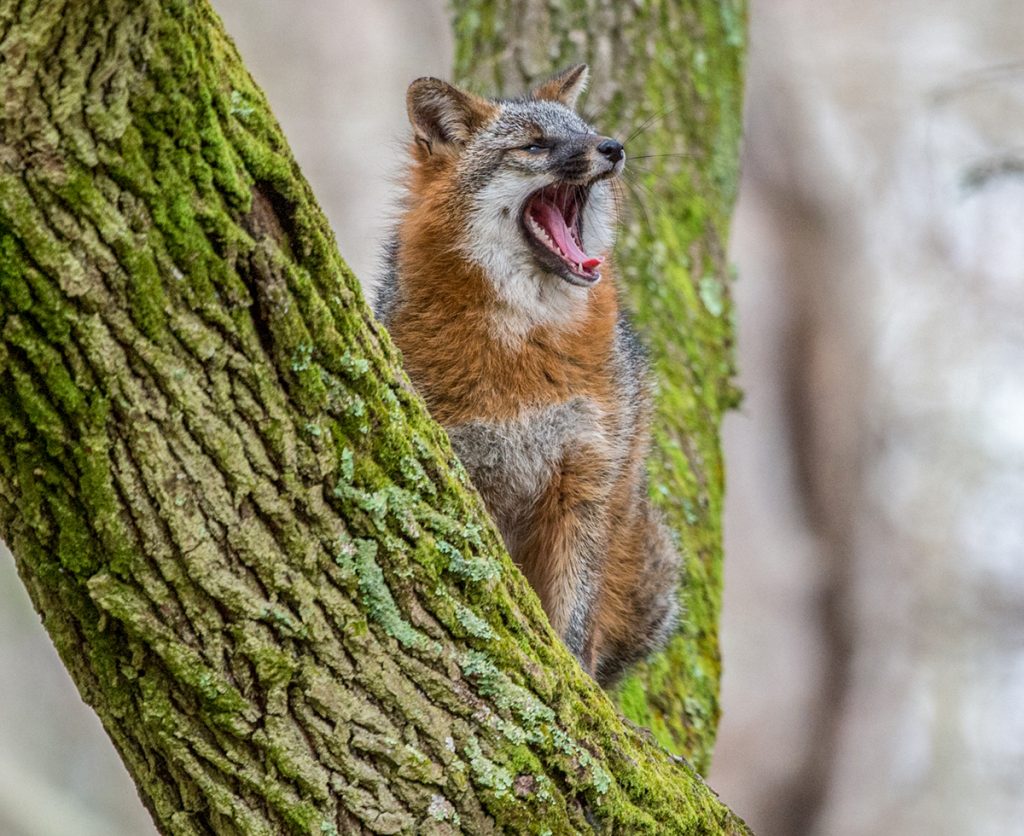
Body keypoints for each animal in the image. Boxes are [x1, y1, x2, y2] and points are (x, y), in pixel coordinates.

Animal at [374, 64, 680, 686]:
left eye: (585, 130)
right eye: (535, 145)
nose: (613, 147)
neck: (522, 356)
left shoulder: (585, 478)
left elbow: (573, 618)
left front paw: (575, 684)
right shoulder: (467, 473)